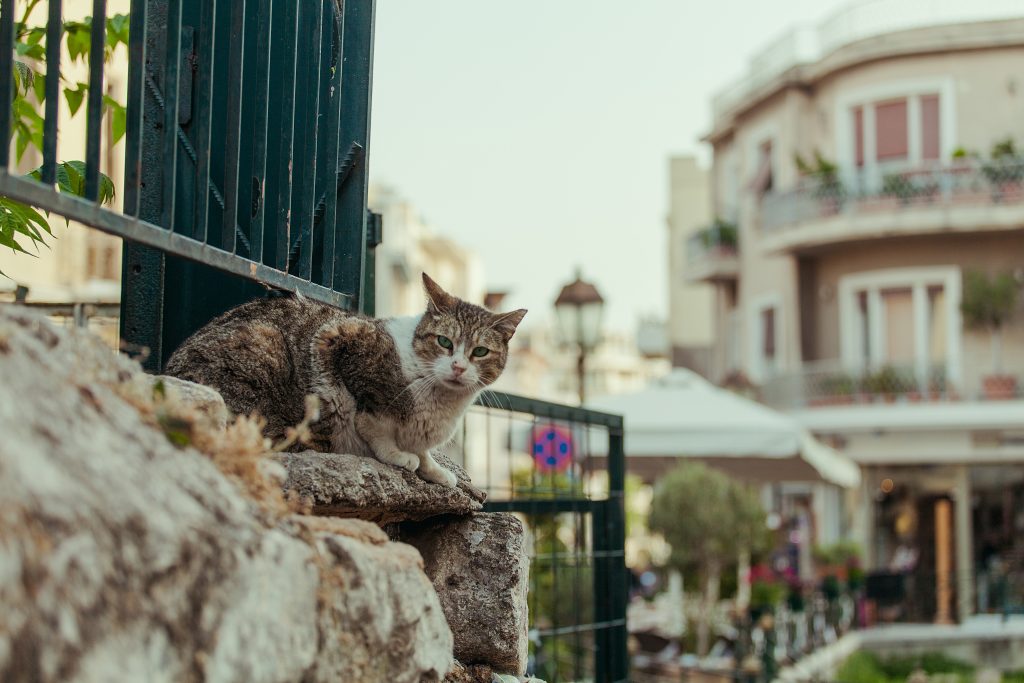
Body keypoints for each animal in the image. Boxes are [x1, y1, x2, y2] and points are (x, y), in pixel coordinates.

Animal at [164, 272, 528, 485]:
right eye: (444, 342)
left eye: (480, 352)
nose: (458, 367)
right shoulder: (341, 340)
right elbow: (372, 421)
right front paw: (397, 455)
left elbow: (423, 451)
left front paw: (434, 469)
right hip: (263, 345)